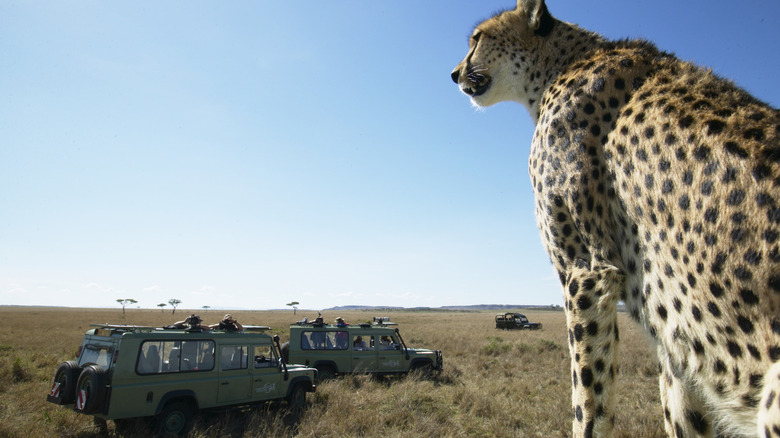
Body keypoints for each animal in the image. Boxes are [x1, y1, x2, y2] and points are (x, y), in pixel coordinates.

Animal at [450, 0, 780, 438]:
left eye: (478, 38)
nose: (455, 73)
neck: (560, 65)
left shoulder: (588, 269)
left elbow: (588, 400)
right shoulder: (677, 341)